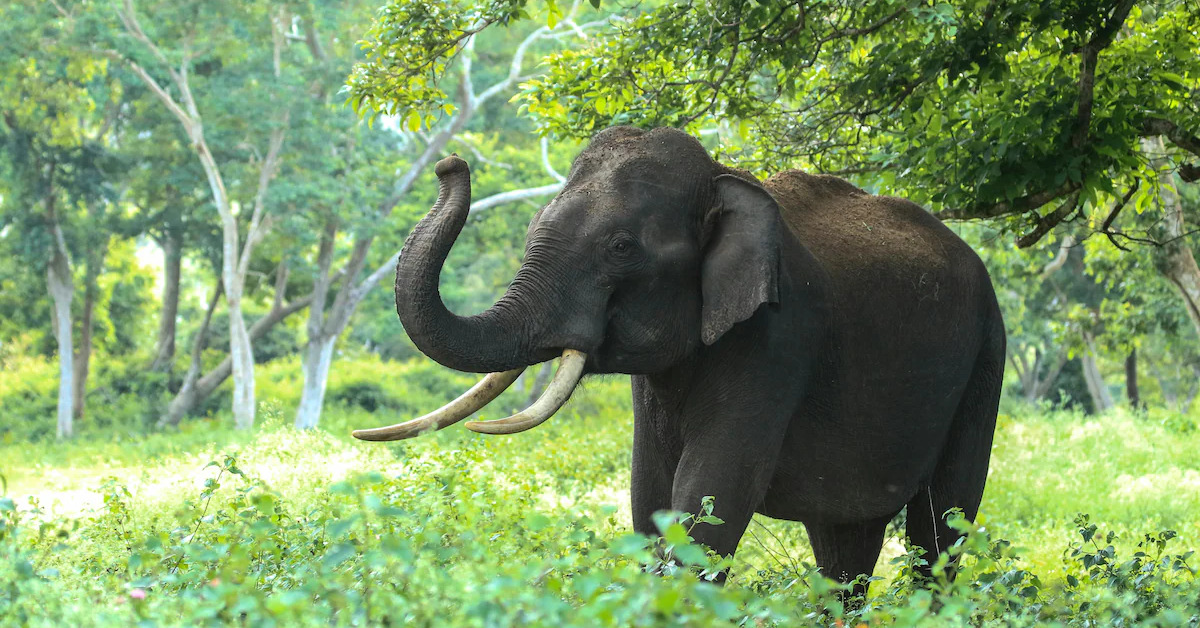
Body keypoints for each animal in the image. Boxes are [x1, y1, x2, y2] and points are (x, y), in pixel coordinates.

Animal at [354, 126, 1005, 596]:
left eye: (620, 247)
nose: (449, 164)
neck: (723, 179)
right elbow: (651, 496)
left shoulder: (778, 337)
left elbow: (711, 497)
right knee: (844, 545)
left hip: (986, 357)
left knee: (941, 527)